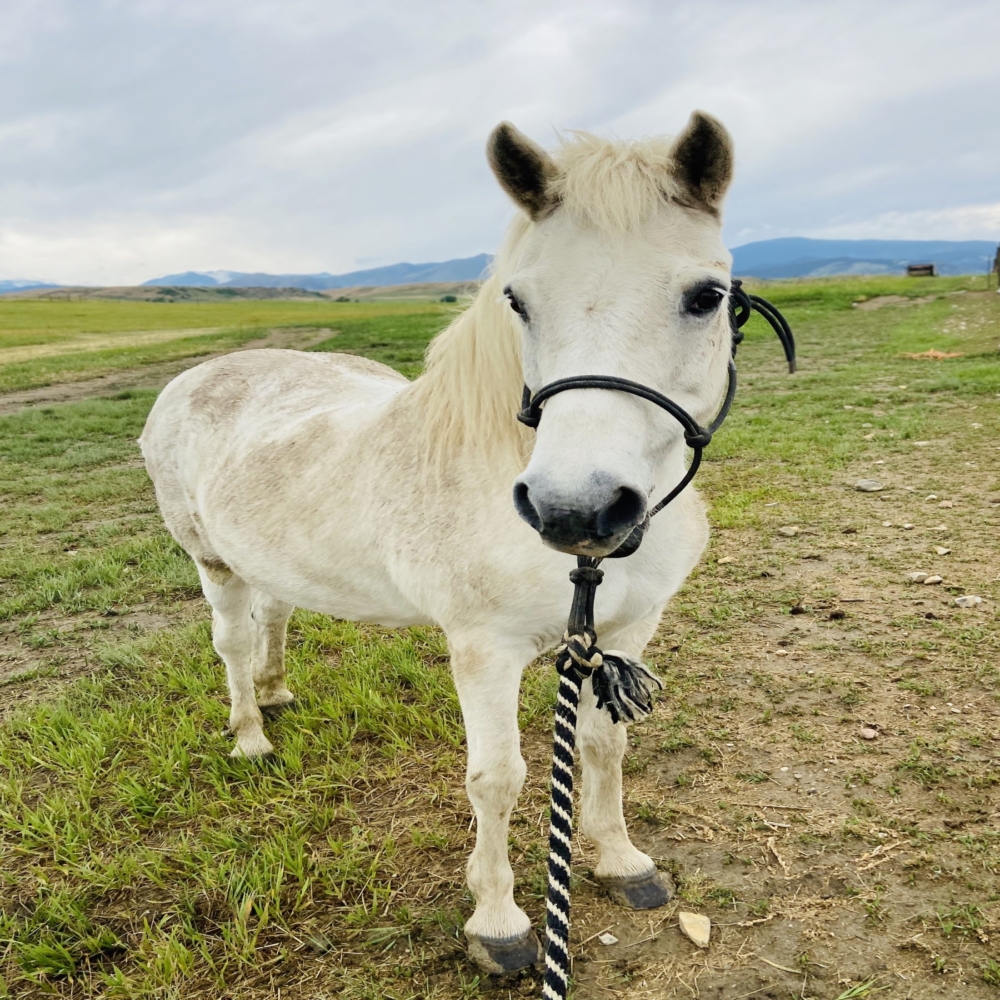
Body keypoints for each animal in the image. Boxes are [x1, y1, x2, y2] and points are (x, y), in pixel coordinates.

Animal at [141, 111, 736, 976]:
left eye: (706, 296)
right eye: (517, 299)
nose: (575, 509)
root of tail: (195, 377)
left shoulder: (626, 632)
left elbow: (604, 747)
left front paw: (623, 862)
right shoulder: (485, 649)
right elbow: (498, 779)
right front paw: (498, 922)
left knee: (275, 617)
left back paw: (277, 691)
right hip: (212, 561)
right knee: (232, 643)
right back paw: (251, 734)